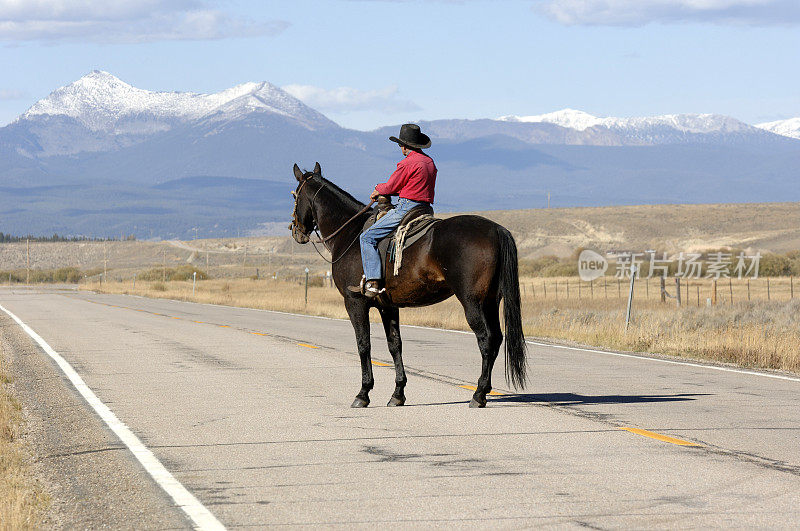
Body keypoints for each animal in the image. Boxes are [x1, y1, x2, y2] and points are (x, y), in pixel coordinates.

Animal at [290, 162, 528, 408]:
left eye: (295, 195)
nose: (296, 231)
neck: (350, 233)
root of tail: (496, 230)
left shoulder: (355, 302)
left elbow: (363, 344)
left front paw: (363, 393)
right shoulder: (388, 306)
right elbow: (395, 344)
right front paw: (398, 393)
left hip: (473, 302)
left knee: (486, 340)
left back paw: (478, 393)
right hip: (491, 301)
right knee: (497, 338)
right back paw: (484, 390)